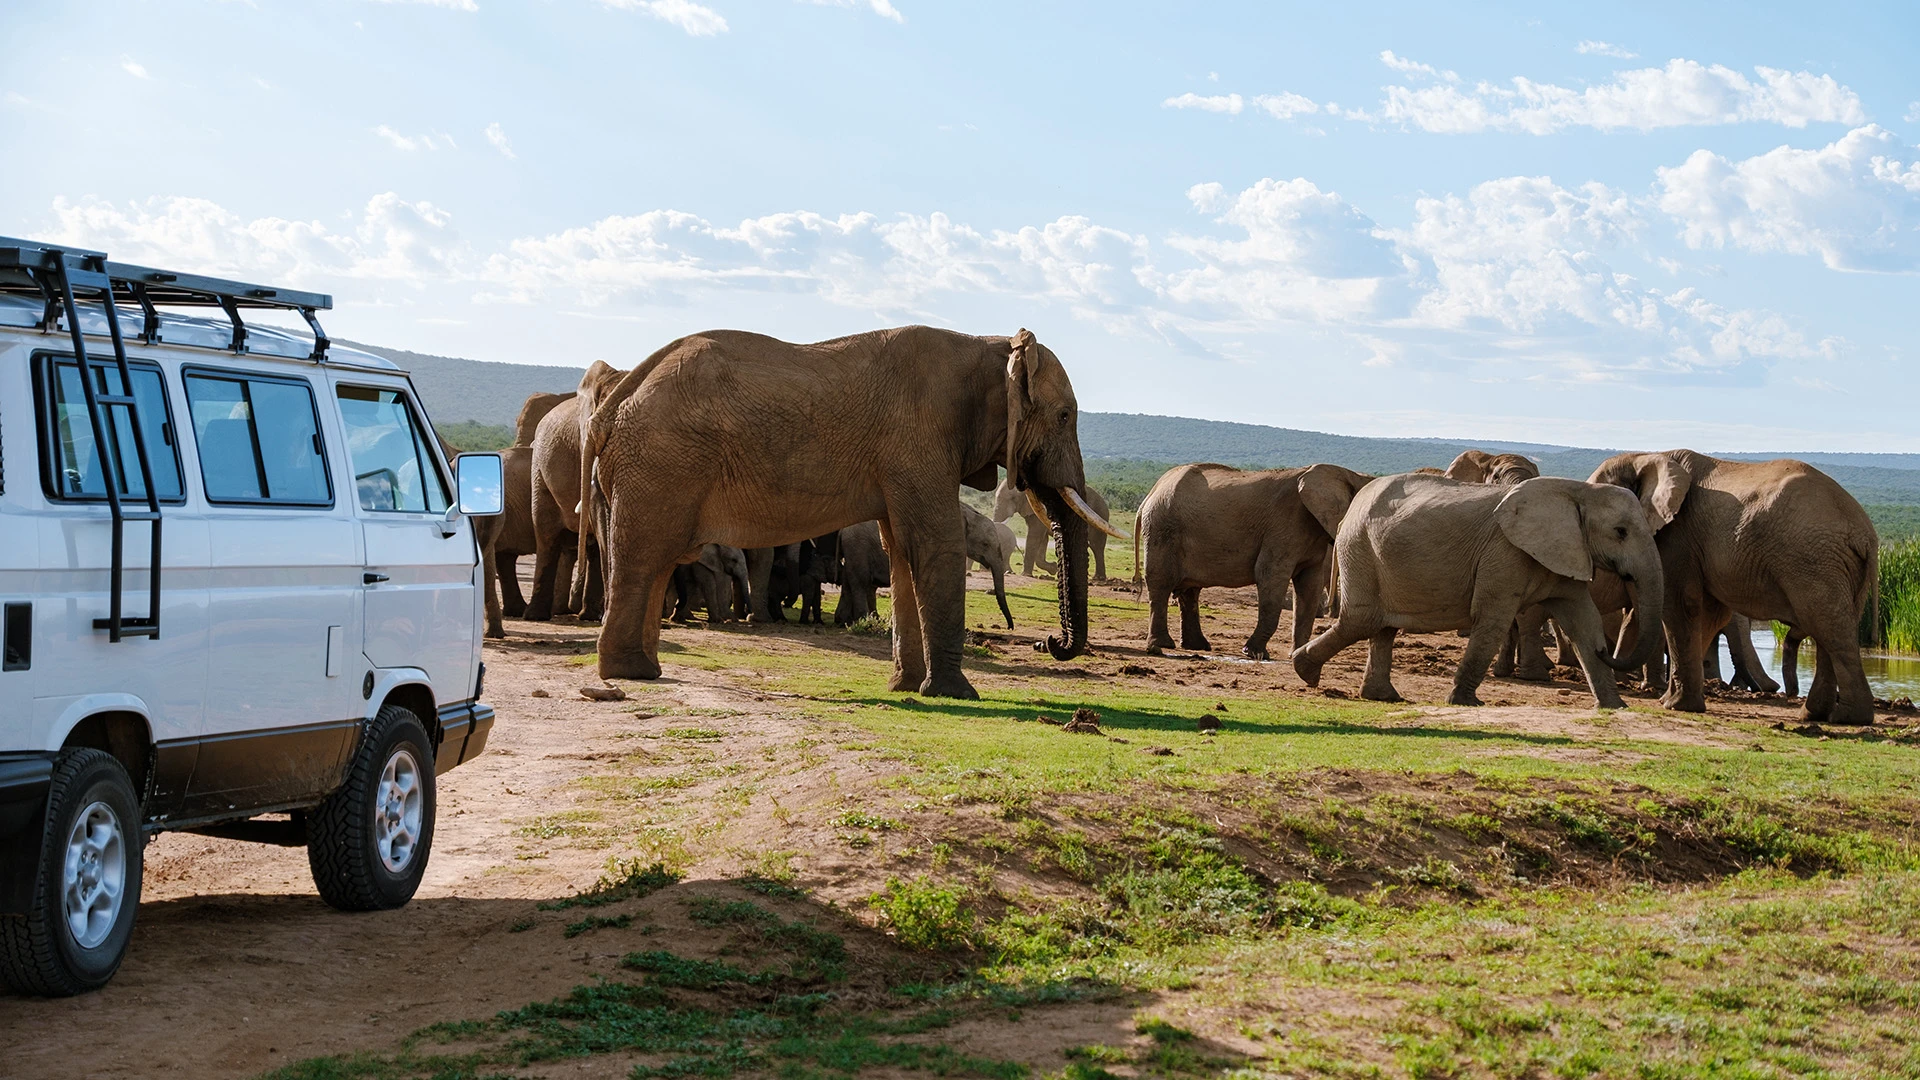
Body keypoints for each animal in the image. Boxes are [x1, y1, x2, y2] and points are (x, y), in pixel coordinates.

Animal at [582, 326, 1123, 696]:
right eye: (1065, 416)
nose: (1046, 642)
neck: (988, 345)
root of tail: (617, 397)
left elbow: (902, 551)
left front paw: (906, 689)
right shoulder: (919, 437)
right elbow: (934, 545)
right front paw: (955, 694)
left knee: (654, 563)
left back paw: (643, 669)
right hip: (661, 463)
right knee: (644, 558)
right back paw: (630, 672)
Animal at [1137, 462, 1372, 661]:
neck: (1347, 473)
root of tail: (1151, 493)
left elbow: (1309, 587)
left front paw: (1297, 655)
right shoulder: (1284, 527)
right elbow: (1270, 575)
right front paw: (1255, 653)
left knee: (1190, 591)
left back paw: (1198, 646)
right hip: (1162, 528)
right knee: (1161, 584)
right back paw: (1164, 644)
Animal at [1292, 474, 1665, 709]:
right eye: (1620, 531)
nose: (1607, 651)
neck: (1578, 491)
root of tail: (1349, 512)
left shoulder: (1567, 551)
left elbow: (1584, 623)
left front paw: (1616, 707)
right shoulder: (1505, 553)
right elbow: (1493, 620)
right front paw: (1464, 703)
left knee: (1382, 626)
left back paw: (1382, 697)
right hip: (1359, 547)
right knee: (1363, 620)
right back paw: (1304, 671)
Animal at [1589, 450, 1879, 724]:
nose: (1601, 651)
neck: (1643, 456)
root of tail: (1865, 532)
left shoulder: (1678, 534)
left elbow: (1680, 606)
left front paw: (1675, 704)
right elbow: (1707, 615)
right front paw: (1674, 700)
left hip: (1813, 560)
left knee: (1829, 628)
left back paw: (1846, 718)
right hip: (1836, 567)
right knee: (1831, 628)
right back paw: (1814, 715)